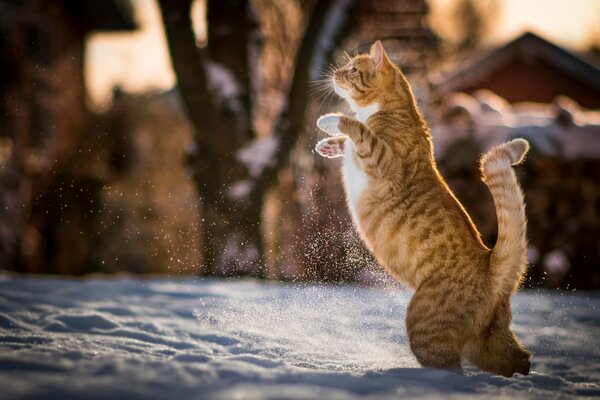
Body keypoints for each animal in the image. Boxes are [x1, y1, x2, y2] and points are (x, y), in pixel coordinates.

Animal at [314, 39, 528, 376]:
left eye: (352, 70)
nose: (334, 73)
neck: (390, 111)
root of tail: (488, 261)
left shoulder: (382, 161)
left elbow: (357, 129)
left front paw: (329, 120)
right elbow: (349, 140)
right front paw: (327, 144)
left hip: (424, 325)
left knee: (449, 370)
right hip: (489, 347)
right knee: (522, 360)